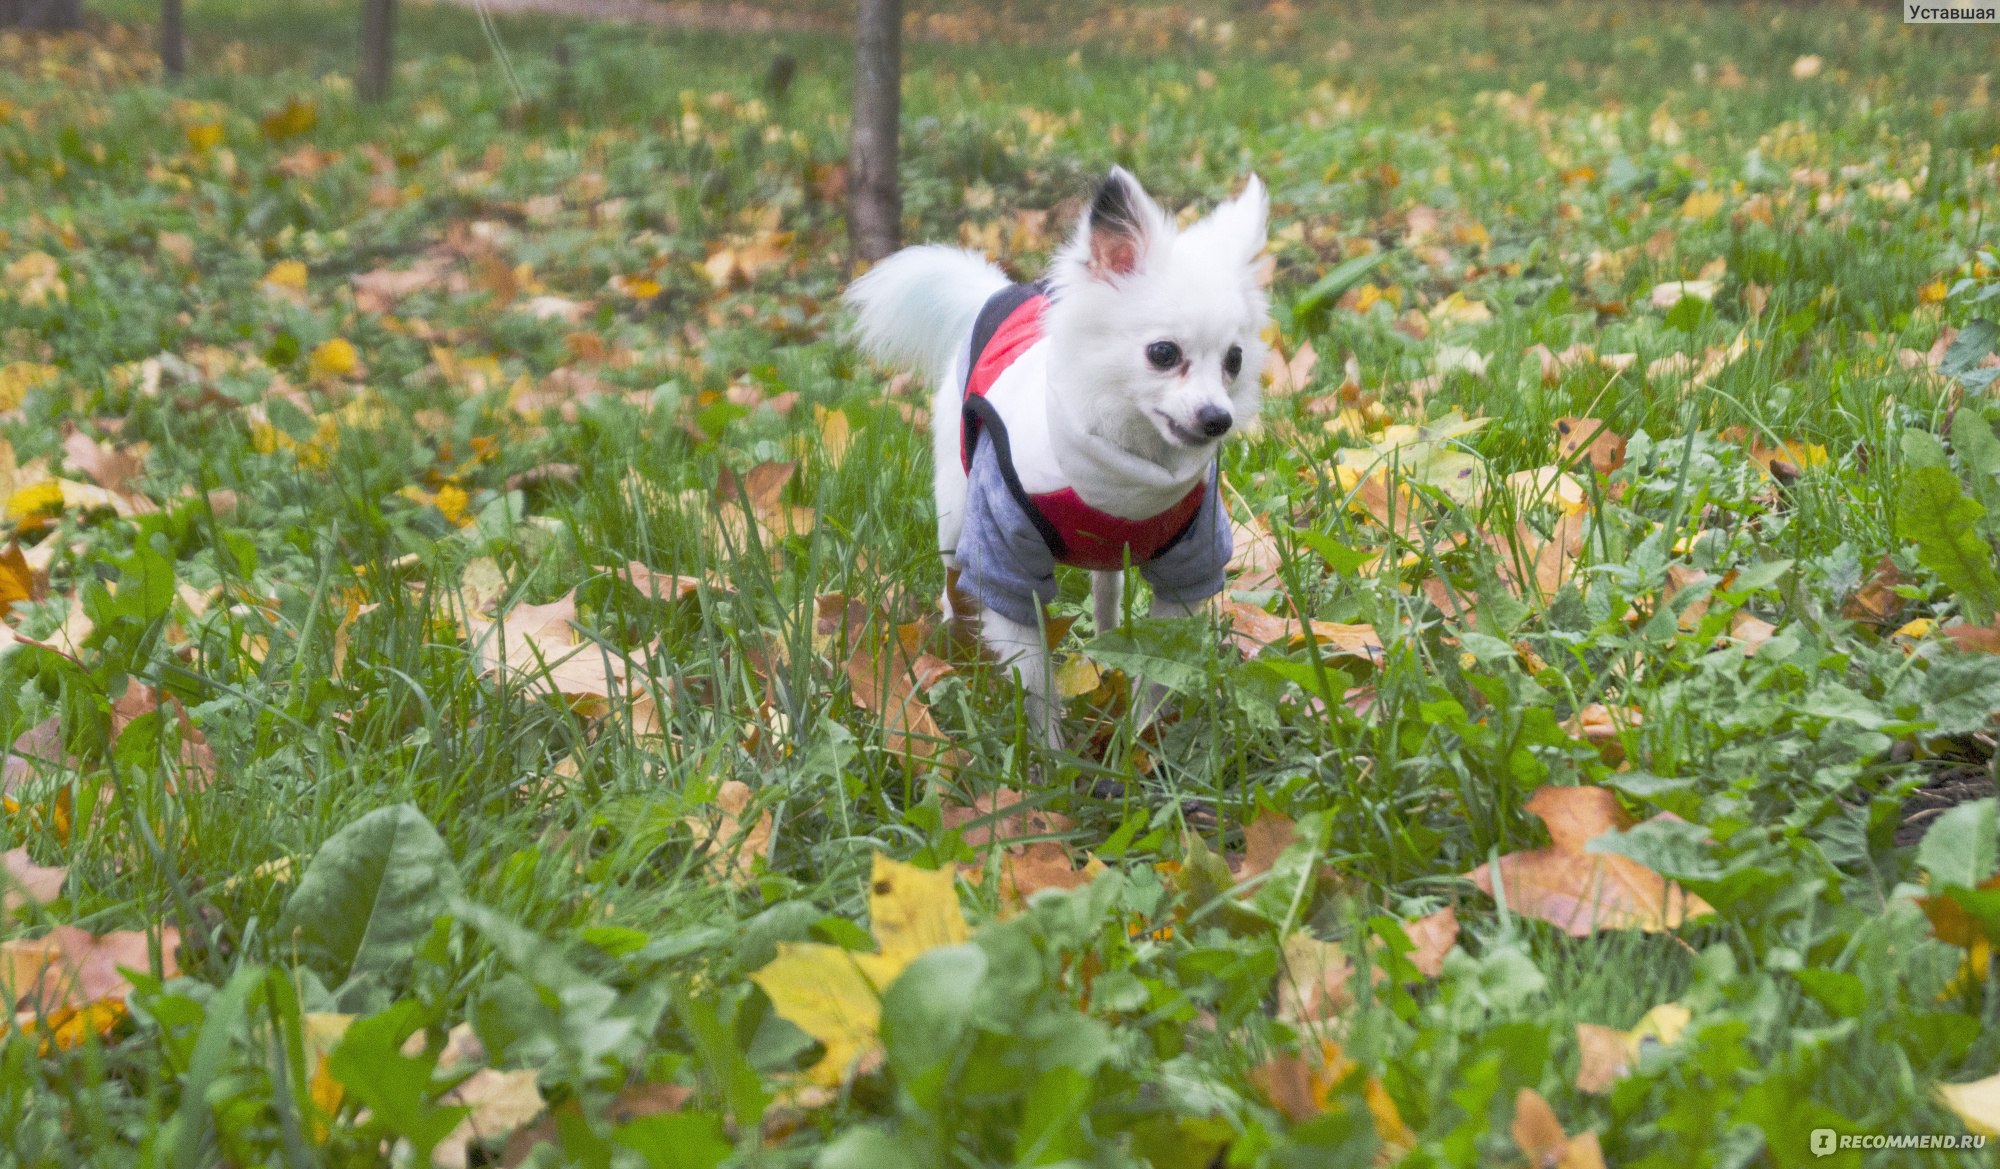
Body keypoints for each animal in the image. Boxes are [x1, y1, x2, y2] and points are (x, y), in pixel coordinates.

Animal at [844, 169, 1264, 744]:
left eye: (1234, 361)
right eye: (1163, 354)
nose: (1217, 417)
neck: (1127, 467)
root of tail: (999, 293)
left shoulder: (1188, 557)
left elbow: (1159, 666)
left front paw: (1139, 738)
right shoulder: (1006, 553)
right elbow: (1035, 676)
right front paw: (1048, 752)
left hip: (1110, 555)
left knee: (1107, 590)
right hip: (957, 510)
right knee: (955, 584)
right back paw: (957, 652)